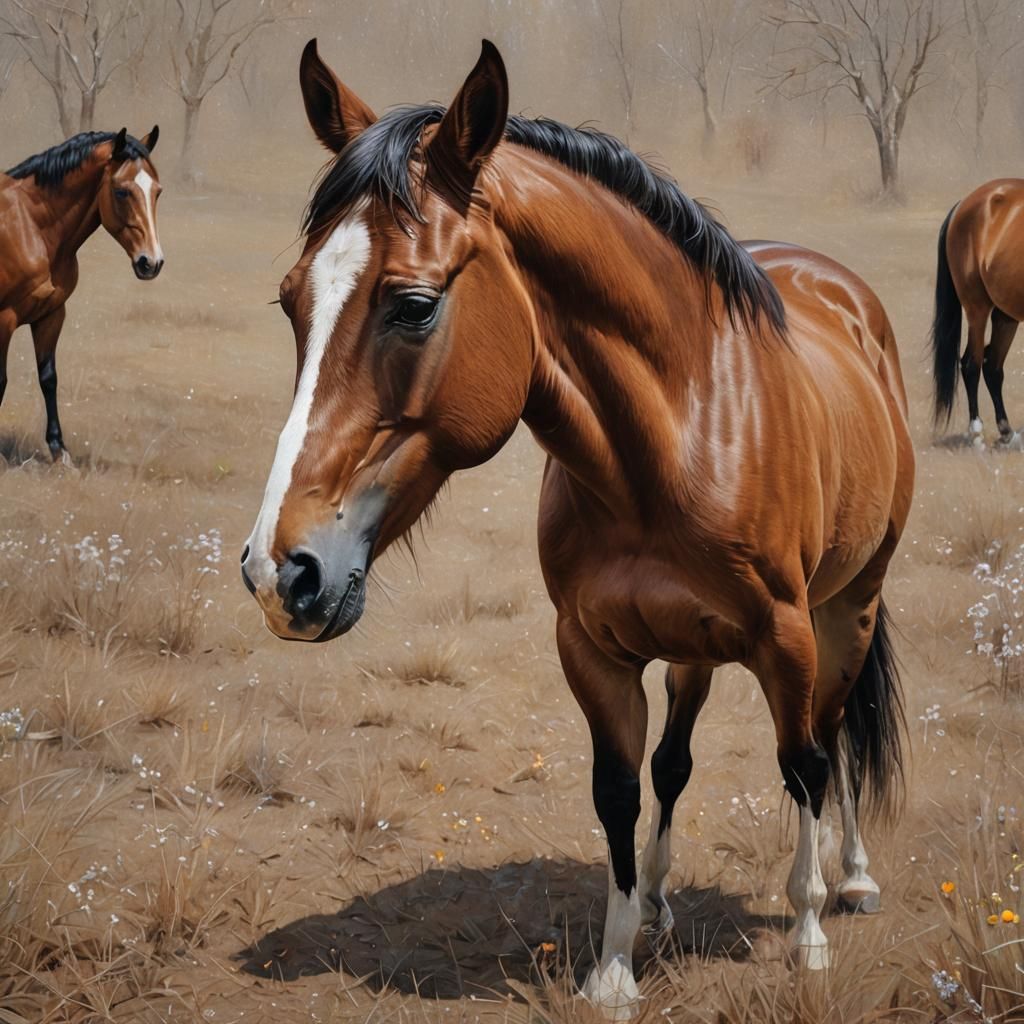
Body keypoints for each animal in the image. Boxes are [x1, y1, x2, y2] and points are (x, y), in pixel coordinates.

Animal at [0, 127, 163, 460]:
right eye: (121, 192)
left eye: (158, 191)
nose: (151, 262)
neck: (30, 227)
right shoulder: (3, 318)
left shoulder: (51, 314)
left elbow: (48, 378)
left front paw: (59, 450)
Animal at [241, 39, 913, 1019]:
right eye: (293, 302)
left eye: (413, 305)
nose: (278, 572)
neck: (677, 439)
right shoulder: (593, 649)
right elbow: (621, 791)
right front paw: (616, 964)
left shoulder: (786, 640)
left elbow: (803, 763)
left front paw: (809, 932)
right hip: (695, 647)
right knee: (676, 762)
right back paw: (668, 897)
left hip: (849, 607)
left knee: (835, 738)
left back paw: (853, 878)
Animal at [932, 179, 1024, 446]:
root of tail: (963, 204)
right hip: (977, 309)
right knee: (971, 364)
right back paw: (977, 433)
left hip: (1005, 315)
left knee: (992, 366)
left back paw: (1007, 431)